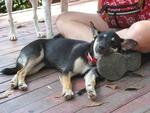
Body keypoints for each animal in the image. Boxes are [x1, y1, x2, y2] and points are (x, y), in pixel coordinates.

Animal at [0, 25, 136, 100]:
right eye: (100, 38)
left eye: (113, 42)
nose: (100, 47)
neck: (90, 57)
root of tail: (23, 48)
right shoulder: (66, 72)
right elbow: (68, 82)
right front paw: (68, 91)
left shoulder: (89, 74)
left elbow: (90, 82)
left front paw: (91, 91)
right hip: (36, 57)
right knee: (21, 71)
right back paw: (21, 84)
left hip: (36, 66)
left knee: (20, 71)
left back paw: (14, 83)